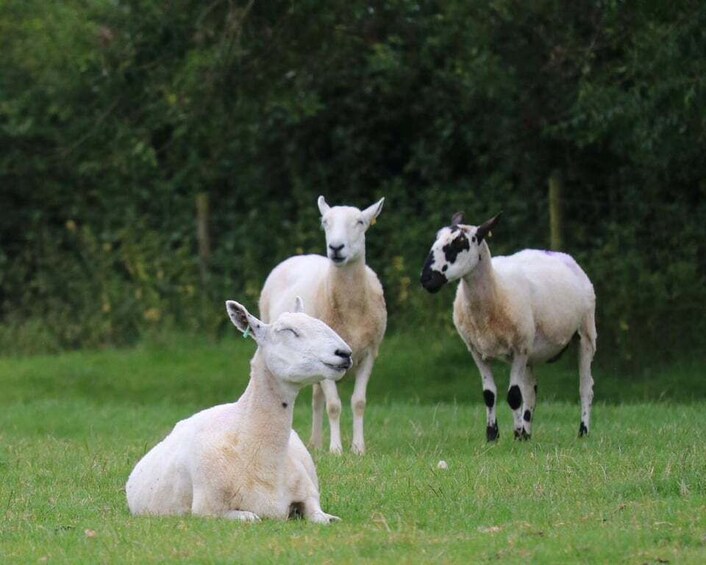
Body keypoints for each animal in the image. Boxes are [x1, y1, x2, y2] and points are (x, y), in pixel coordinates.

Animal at [125, 298, 352, 524]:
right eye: (288, 330)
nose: (345, 353)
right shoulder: (208, 508)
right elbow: (251, 517)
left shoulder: (309, 496)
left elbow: (324, 518)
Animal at [258, 196, 384, 456]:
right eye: (325, 222)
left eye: (360, 222)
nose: (335, 248)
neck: (351, 307)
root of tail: (303, 256)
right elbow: (334, 405)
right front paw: (336, 449)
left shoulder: (369, 353)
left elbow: (359, 402)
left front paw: (358, 448)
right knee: (320, 400)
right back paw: (317, 444)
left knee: (317, 398)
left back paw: (316, 442)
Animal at [418, 212, 592, 440]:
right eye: (436, 239)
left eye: (460, 242)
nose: (426, 279)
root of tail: (561, 255)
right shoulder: (477, 351)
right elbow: (489, 395)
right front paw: (493, 435)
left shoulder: (519, 349)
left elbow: (514, 396)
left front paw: (516, 434)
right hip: (531, 349)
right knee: (531, 390)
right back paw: (527, 434)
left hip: (585, 333)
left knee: (585, 387)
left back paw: (583, 431)